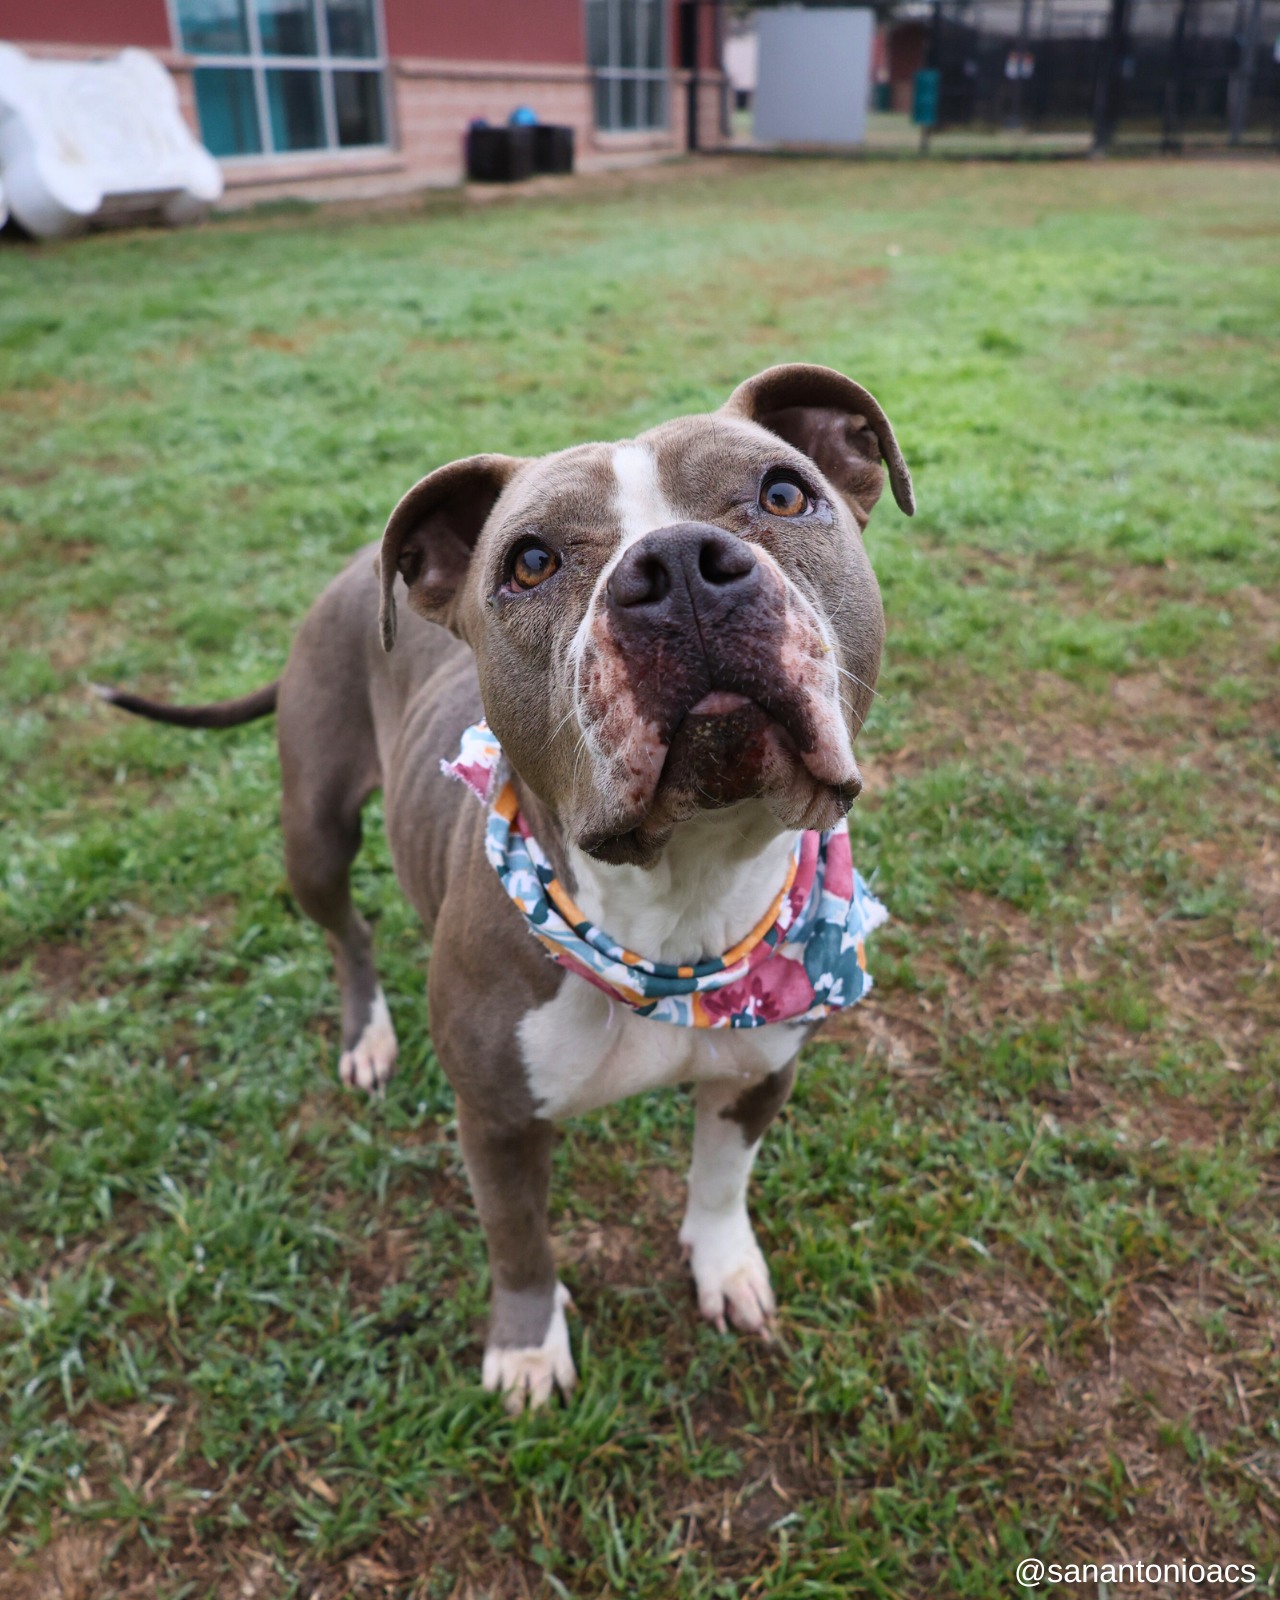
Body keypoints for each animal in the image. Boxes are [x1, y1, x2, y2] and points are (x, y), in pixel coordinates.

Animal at [104, 366, 915, 1414]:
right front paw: (527, 1351)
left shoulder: (762, 1069)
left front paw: (725, 1267)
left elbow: (719, 1181)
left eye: (783, 494)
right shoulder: (494, 1122)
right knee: (347, 931)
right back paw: (367, 1035)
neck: (676, 912)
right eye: (530, 563)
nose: (680, 566)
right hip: (315, 834)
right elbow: (518, 1240)